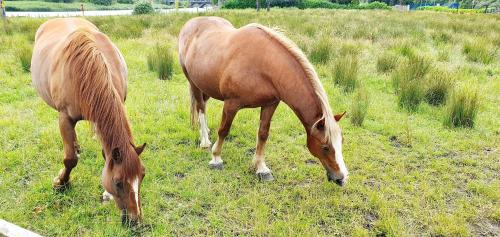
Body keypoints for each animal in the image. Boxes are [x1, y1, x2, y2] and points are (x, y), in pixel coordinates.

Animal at [31, 17, 146, 223]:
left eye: (143, 175)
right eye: (118, 183)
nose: (135, 220)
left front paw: (106, 195)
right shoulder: (64, 118)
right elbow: (69, 160)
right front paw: (61, 183)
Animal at [179, 16, 348, 186]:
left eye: (341, 141)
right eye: (325, 147)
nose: (342, 178)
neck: (262, 66)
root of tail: (192, 23)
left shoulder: (270, 104)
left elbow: (263, 134)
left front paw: (261, 168)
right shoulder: (231, 104)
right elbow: (224, 130)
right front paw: (216, 158)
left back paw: (206, 131)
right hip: (193, 83)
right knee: (200, 108)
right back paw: (205, 141)